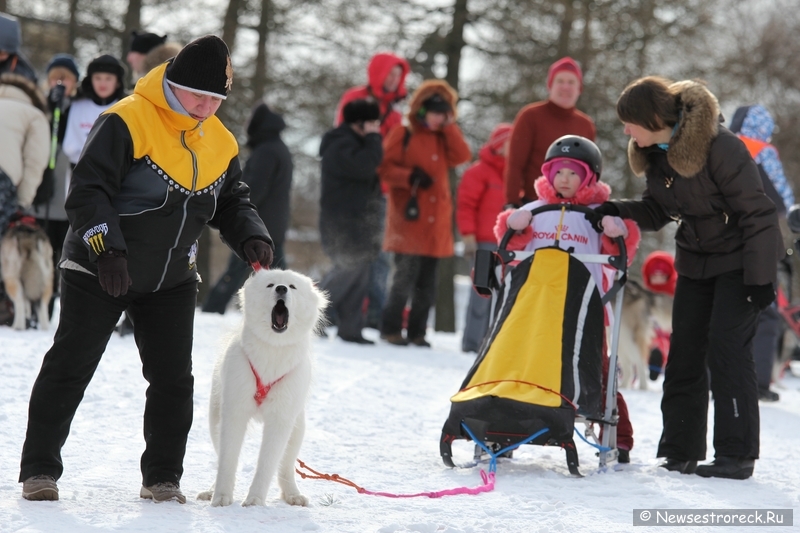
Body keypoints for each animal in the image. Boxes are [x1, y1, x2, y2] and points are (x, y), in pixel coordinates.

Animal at [198, 268, 326, 504]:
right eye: (270, 285)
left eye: (292, 286)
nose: (281, 288)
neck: (273, 349)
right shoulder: (234, 412)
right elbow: (227, 460)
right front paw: (221, 497)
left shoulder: (281, 418)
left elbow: (267, 464)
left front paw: (254, 501)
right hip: (215, 418)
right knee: (220, 454)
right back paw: (210, 491)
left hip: (297, 429)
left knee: (285, 467)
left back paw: (293, 495)